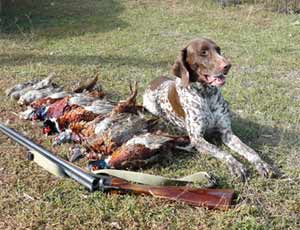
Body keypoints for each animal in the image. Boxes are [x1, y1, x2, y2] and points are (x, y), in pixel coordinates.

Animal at [144, 37, 276, 181]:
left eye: (218, 50)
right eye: (203, 52)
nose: (228, 65)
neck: (206, 94)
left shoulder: (227, 133)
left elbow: (249, 150)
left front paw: (262, 164)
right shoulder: (197, 139)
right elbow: (222, 152)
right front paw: (237, 166)